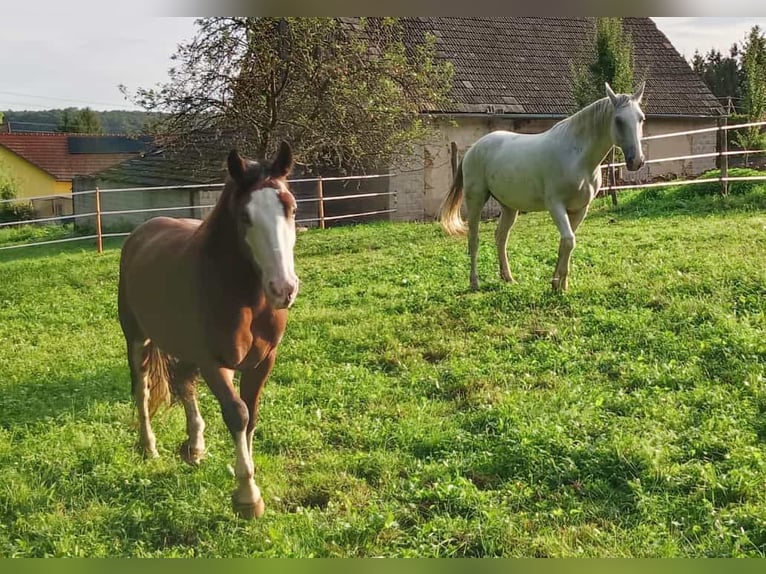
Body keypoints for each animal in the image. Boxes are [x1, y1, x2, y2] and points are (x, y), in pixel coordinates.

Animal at [117, 142, 299, 519]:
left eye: (291, 208)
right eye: (245, 216)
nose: (283, 289)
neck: (246, 298)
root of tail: (142, 232)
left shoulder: (263, 361)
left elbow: (252, 413)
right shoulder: (215, 362)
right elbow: (237, 414)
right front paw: (247, 495)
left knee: (185, 385)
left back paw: (195, 446)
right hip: (136, 338)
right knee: (142, 388)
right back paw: (149, 447)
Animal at [439, 82, 646, 292]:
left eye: (641, 119)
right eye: (618, 120)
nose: (636, 161)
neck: (577, 157)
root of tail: (473, 149)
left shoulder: (580, 209)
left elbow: (565, 243)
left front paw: (557, 283)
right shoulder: (556, 206)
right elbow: (569, 241)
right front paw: (560, 285)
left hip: (509, 207)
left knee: (500, 237)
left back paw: (508, 277)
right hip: (476, 200)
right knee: (474, 239)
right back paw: (474, 283)